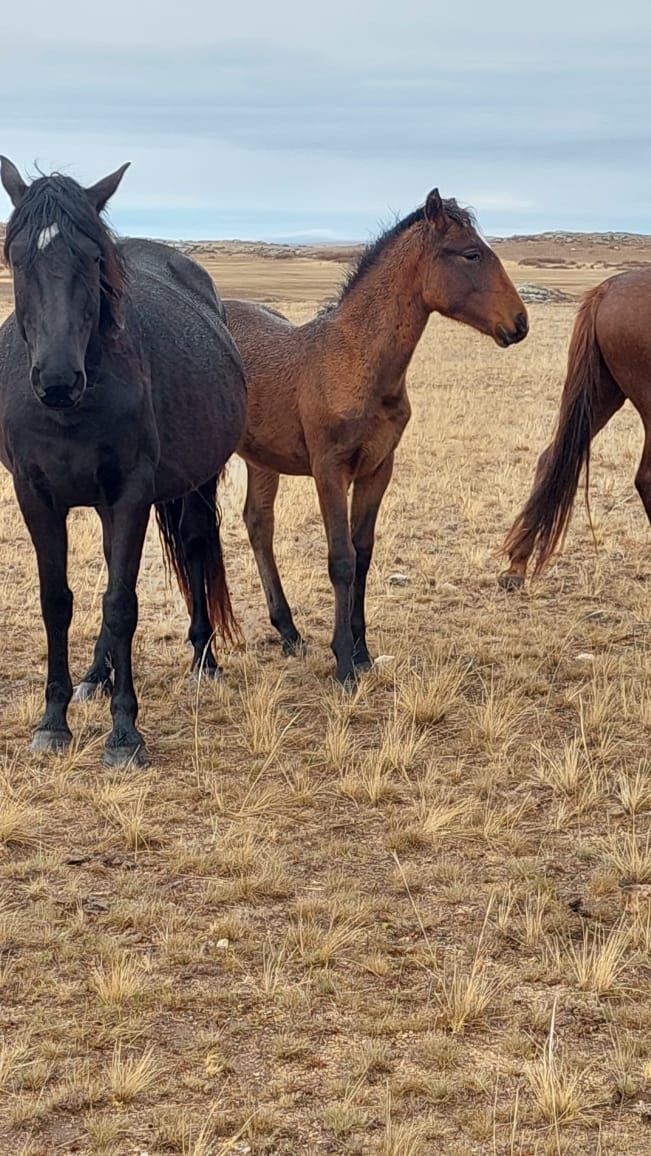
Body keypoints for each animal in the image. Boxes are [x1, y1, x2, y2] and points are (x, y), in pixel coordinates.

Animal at [0, 158, 247, 762]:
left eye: (93, 258)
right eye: (16, 256)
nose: (58, 380)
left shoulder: (131, 495)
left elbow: (121, 604)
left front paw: (125, 732)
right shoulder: (35, 496)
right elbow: (57, 601)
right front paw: (54, 721)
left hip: (194, 484)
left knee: (197, 548)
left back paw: (203, 659)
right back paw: (97, 674)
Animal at [224, 184, 529, 679]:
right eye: (471, 254)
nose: (520, 323)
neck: (356, 360)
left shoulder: (377, 469)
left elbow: (363, 555)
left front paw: (363, 653)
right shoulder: (329, 470)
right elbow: (341, 559)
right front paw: (344, 661)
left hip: (261, 458)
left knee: (258, 523)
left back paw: (288, 631)